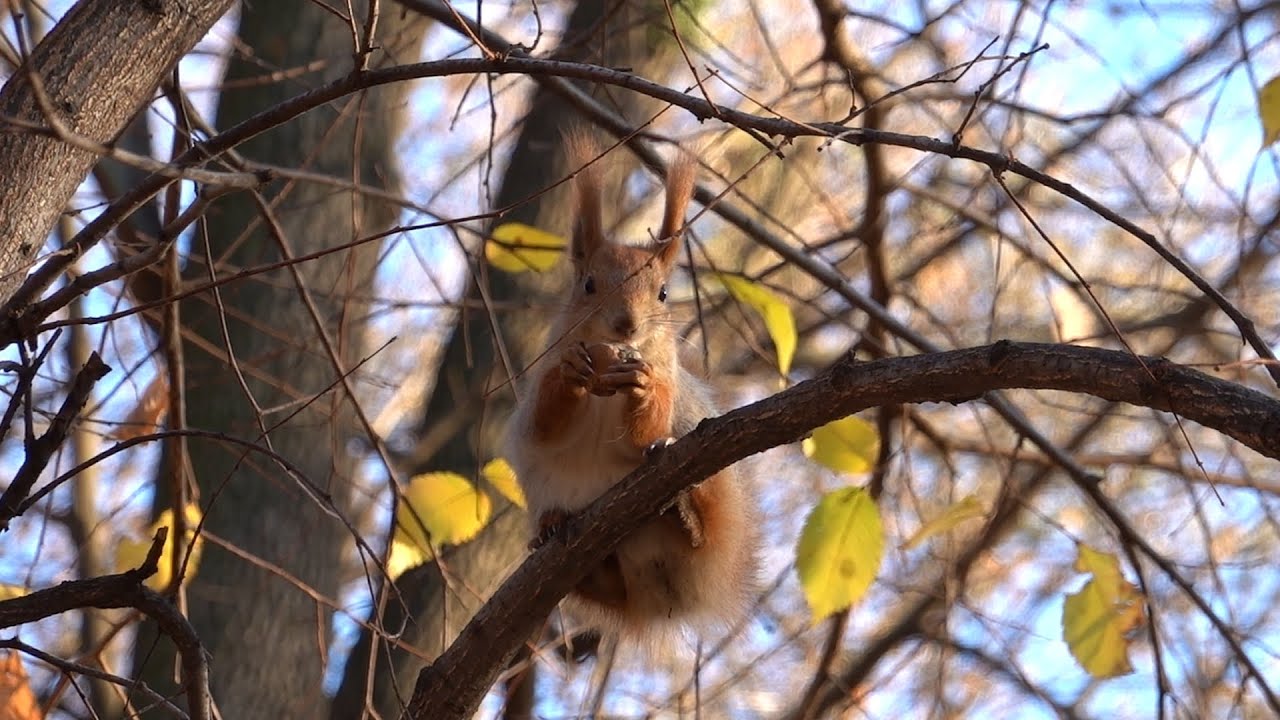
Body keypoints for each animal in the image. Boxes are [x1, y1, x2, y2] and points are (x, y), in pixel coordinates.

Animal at [504, 133, 760, 639]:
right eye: (587, 285)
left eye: (662, 292)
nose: (627, 325)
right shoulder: (533, 405)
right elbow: (543, 426)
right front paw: (570, 373)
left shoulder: (672, 390)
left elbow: (644, 432)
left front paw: (641, 387)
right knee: (605, 588)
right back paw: (556, 531)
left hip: (713, 489)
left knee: (701, 532)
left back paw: (686, 519)